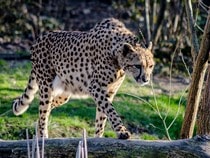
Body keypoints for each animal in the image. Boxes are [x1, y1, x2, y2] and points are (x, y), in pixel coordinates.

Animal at [12, 18, 154, 139]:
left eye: (151, 66)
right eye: (137, 65)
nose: (146, 80)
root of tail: (41, 37)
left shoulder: (109, 91)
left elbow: (102, 117)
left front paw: (98, 138)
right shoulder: (96, 87)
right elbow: (110, 110)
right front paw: (122, 132)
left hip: (65, 93)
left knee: (48, 109)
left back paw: (38, 131)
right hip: (46, 86)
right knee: (43, 111)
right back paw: (42, 137)